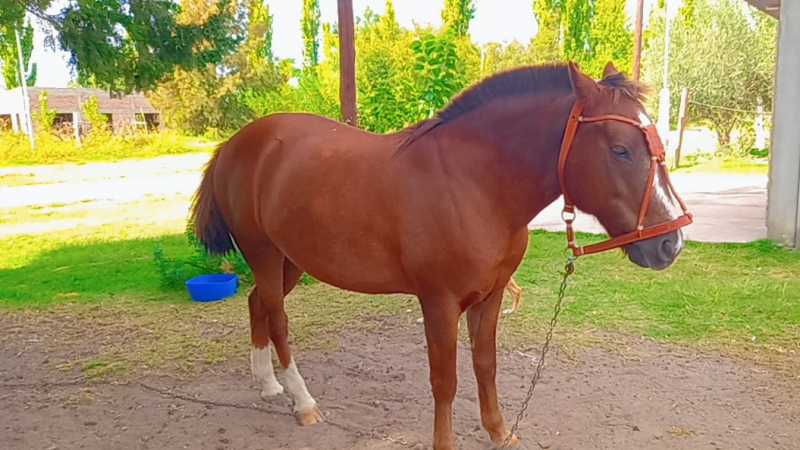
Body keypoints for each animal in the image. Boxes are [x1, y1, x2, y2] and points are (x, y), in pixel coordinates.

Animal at [191, 61, 692, 450]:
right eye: (620, 149)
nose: (670, 244)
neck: (474, 183)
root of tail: (236, 142)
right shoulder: (439, 303)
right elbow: (445, 381)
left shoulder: (489, 298)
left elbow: (485, 366)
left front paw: (499, 431)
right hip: (264, 253)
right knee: (277, 318)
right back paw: (303, 401)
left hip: (290, 259)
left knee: (256, 303)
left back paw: (268, 384)